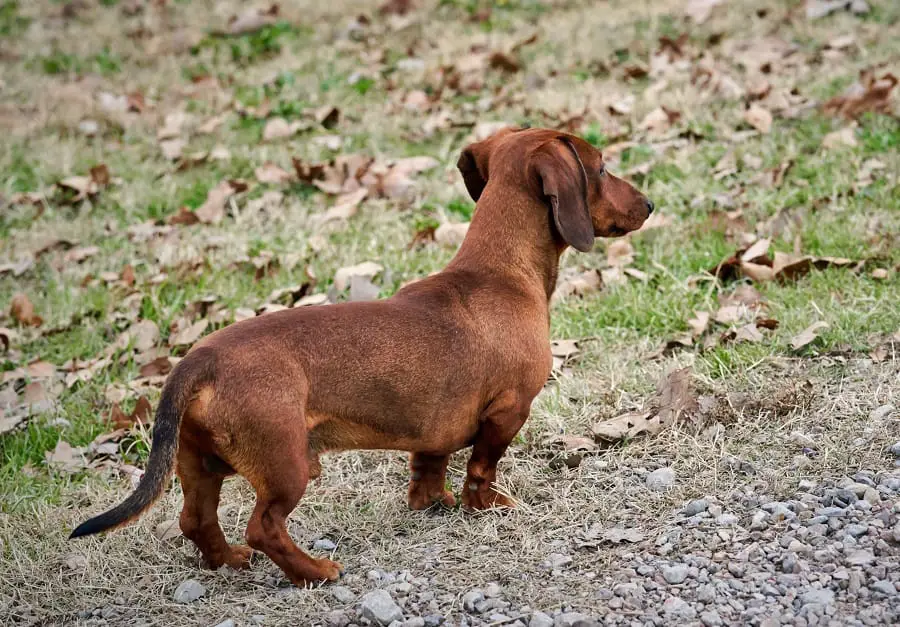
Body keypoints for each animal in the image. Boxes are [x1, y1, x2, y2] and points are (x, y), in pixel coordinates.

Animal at [68, 129, 648, 588]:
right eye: (601, 167)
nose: (649, 205)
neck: (499, 273)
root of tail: (200, 360)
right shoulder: (508, 410)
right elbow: (481, 468)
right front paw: (486, 508)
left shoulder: (433, 428)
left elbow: (429, 467)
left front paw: (432, 503)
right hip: (287, 465)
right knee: (263, 527)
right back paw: (315, 572)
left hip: (197, 463)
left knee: (196, 520)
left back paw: (228, 561)